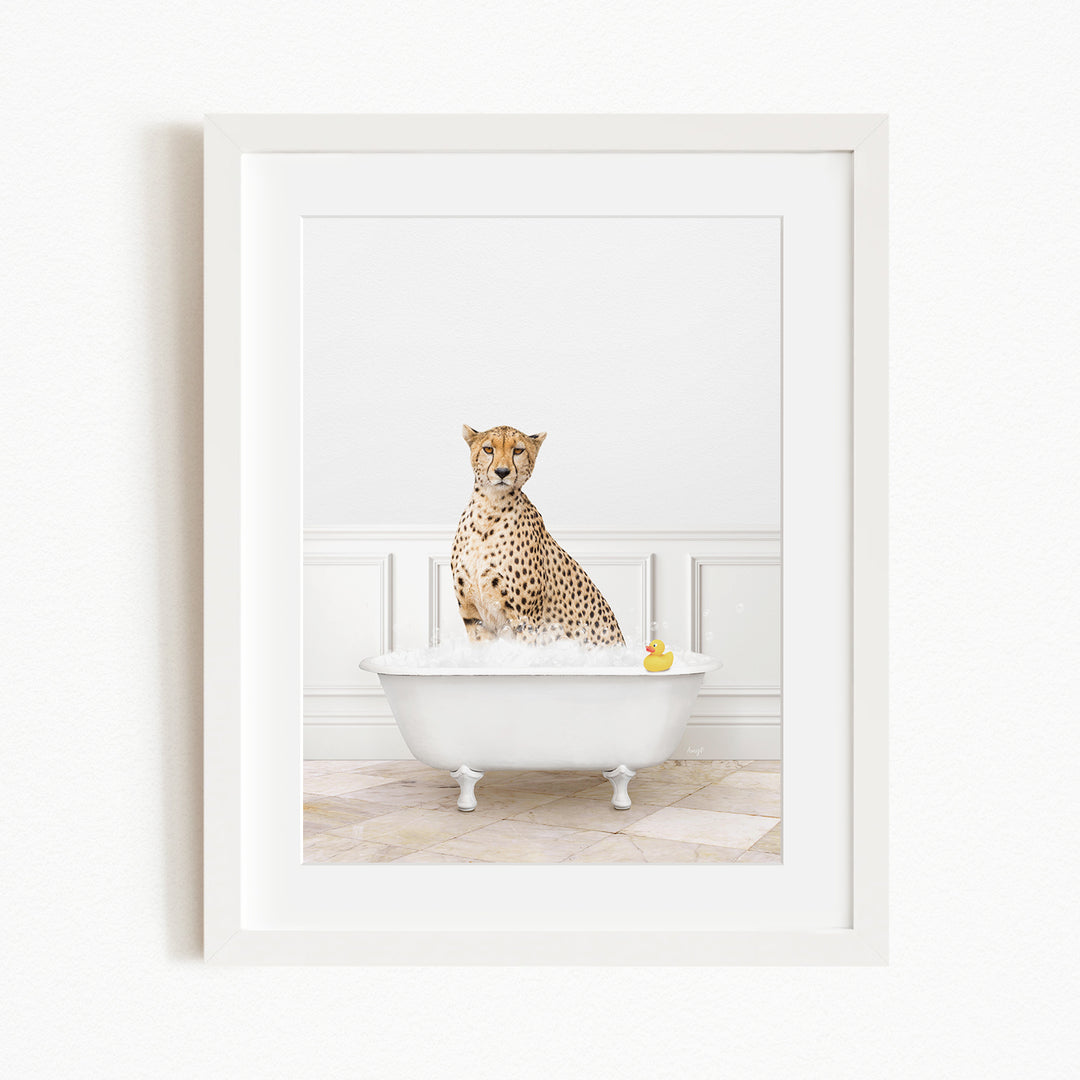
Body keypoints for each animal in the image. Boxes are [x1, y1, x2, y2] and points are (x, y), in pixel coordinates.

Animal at [451, 424, 624, 647]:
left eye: (518, 451)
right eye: (488, 449)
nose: (502, 472)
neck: (489, 508)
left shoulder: (525, 620)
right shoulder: (474, 618)